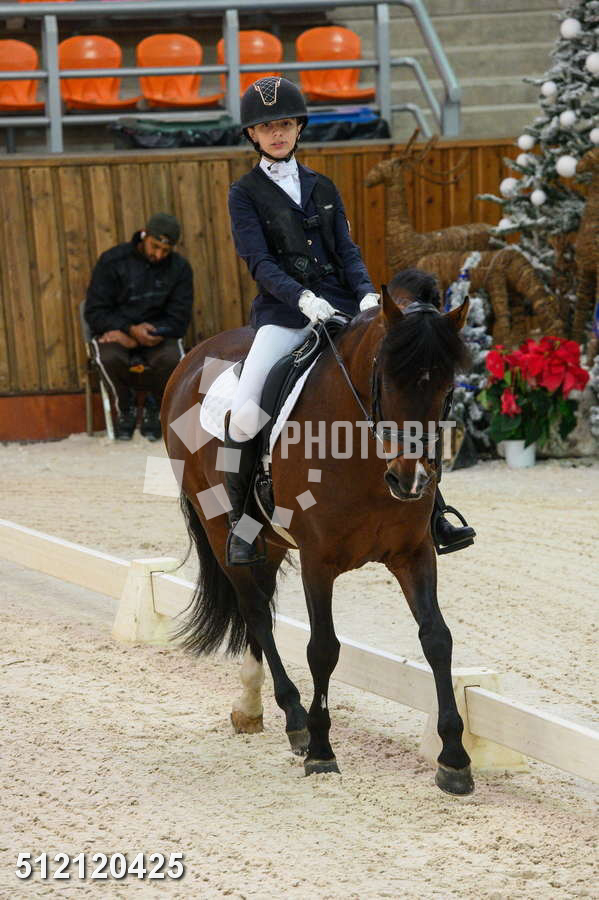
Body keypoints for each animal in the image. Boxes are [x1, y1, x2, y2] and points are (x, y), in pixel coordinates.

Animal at [162, 289, 474, 795]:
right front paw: (322, 750)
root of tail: (192, 356)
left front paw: (454, 758)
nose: (410, 480)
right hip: (219, 526)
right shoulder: (318, 560)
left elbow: (436, 639)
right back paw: (292, 718)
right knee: (255, 611)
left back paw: (251, 707)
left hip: (269, 542)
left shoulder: (414, 553)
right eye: (385, 380)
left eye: (448, 388)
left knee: (260, 608)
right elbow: (323, 648)